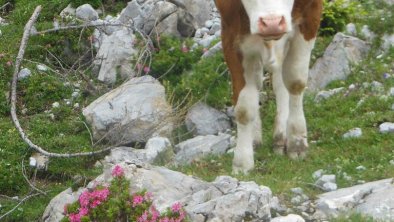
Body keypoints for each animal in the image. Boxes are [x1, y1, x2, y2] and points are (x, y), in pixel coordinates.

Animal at [215, 0, 324, 173]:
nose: (272, 23)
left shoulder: (310, 16)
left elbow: (295, 82)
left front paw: (297, 142)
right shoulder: (231, 33)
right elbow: (244, 108)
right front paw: (242, 162)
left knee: (280, 81)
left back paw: (281, 135)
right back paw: (255, 137)